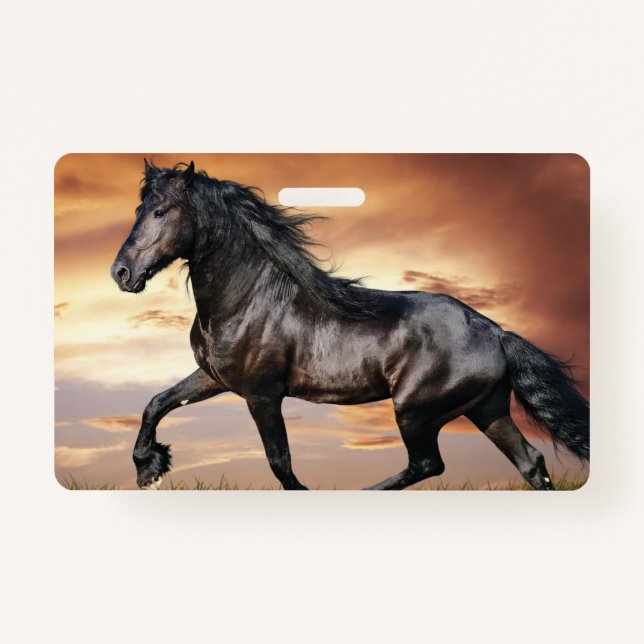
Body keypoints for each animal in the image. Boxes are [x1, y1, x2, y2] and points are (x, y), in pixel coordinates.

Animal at [110, 160, 589, 490]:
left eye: (161, 211)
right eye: (137, 208)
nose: (121, 273)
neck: (248, 300)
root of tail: (495, 332)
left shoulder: (262, 394)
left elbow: (280, 464)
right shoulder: (215, 378)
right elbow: (156, 403)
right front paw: (149, 469)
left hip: (416, 410)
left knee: (427, 464)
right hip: (486, 409)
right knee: (531, 464)